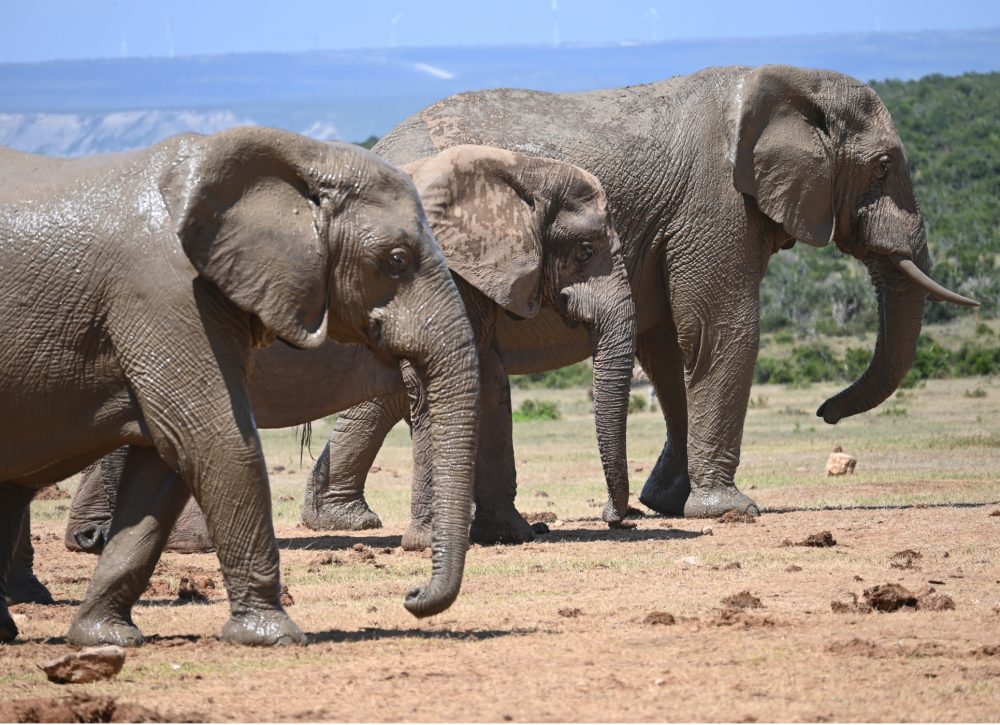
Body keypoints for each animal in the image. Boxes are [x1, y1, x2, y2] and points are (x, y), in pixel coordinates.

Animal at [0, 127, 482, 646]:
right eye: (396, 260)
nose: (412, 596)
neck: (298, 157)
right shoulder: (167, 296)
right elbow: (216, 440)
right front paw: (276, 635)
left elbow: (163, 465)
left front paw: (107, 637)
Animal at [319, 63, 977, 528]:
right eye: (884, 166)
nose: (825, 413)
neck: (784, 79)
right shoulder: (713, 204)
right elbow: (720, 329)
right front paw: (729, 511)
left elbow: (667, 347)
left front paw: (667, 502)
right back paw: (350, 521)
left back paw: (338, 518)